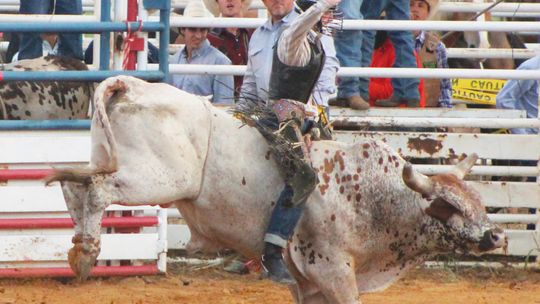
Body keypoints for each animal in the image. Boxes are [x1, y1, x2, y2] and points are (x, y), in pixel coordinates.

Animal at [46, 75, 506, 302]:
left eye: (479, 202)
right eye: (448, 206)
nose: (495, 236)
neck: (370, 194)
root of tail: (134, 84)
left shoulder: (311, 285)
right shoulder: (333, 270)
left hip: (108, 157)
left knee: (73, 183)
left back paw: (78, 248)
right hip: (158, 179)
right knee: (98, 189)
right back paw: (87, 253)